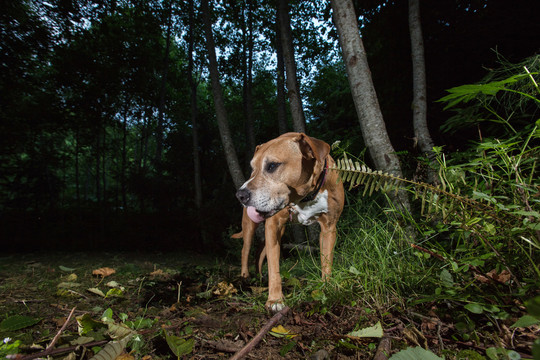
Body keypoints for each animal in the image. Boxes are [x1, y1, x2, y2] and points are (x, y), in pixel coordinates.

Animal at [231, 133, 342, 312]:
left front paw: (327, 288)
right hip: (250, 227)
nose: (240, 195)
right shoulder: (273, 225)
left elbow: (327, 262)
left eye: (272, 166)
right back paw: (245, 277)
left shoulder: (329, 228)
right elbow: (274, 267)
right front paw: (275, 300)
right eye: (252, 168)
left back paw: (259, 277)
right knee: (245, 251)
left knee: (261, 252)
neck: (305, 196)